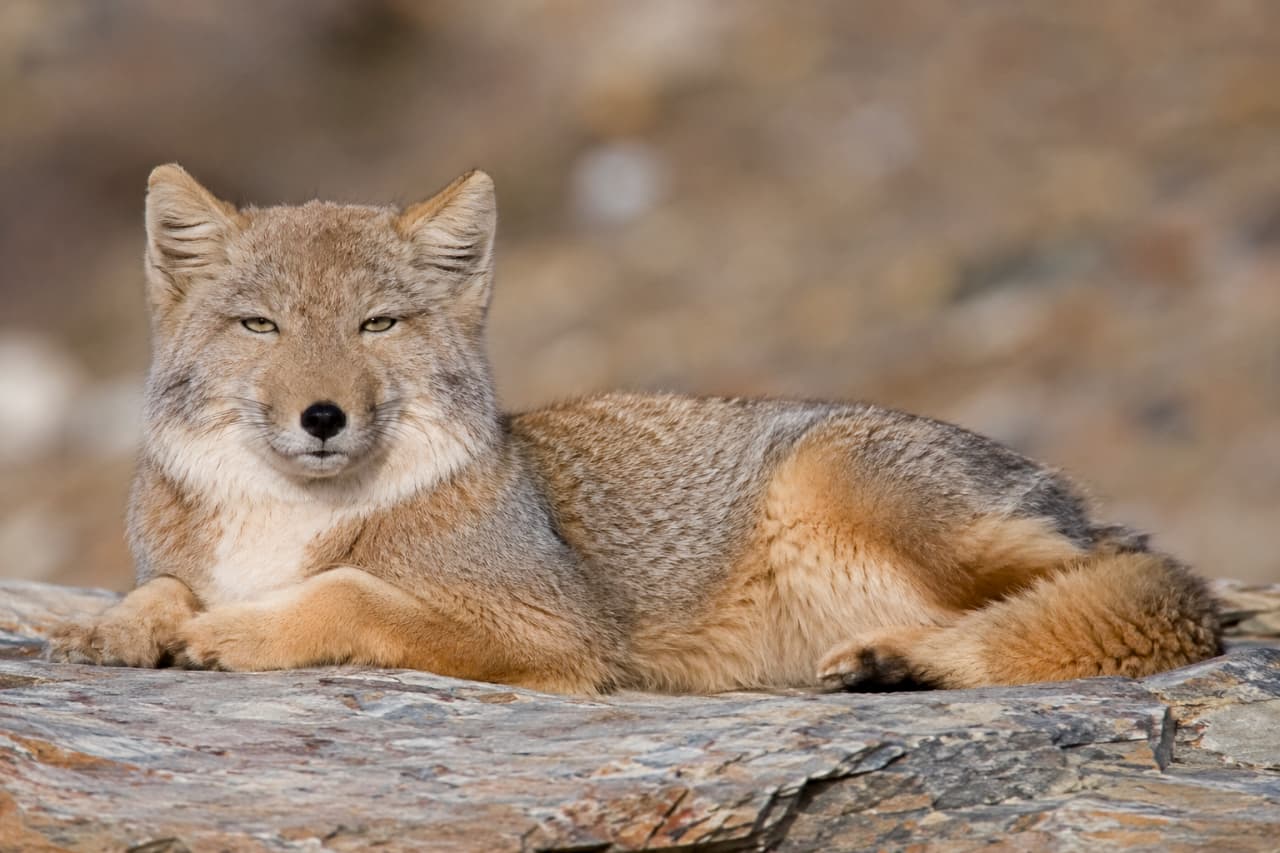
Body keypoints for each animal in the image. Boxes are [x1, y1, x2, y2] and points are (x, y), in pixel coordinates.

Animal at [47, 164, 1221, 695]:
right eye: (262, 325)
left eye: (377, 323)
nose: (322, 416)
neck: (285, 520)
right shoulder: (175, 556)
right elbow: (155, 587)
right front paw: (123, 627)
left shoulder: (557, 633)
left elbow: (346, 592)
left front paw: (237, 632)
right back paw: (890, 660)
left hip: (849, 484)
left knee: (1098, 597)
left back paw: (908, 657)